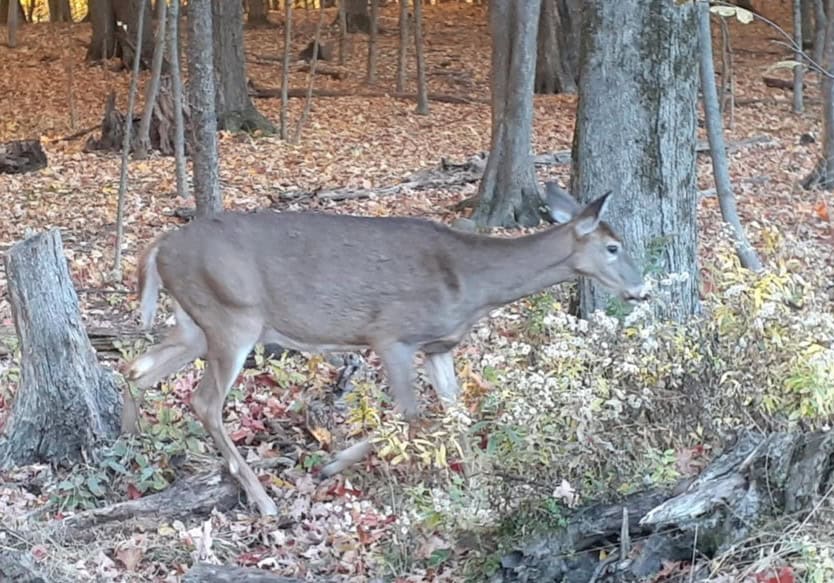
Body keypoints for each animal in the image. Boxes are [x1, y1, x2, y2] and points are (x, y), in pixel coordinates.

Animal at [123, 186, 648, 516]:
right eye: (614, 247)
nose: (642, 289)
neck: (471, 284)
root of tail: (159, 246)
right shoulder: (391, 336)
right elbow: (412, 416)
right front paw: (332, 463)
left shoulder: (439, 345)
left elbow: (456, 414)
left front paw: (478, 485)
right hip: (234, 317)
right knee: (204, 400)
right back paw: (263, 499)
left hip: (195, 323)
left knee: (137, 369)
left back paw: (129, 451)